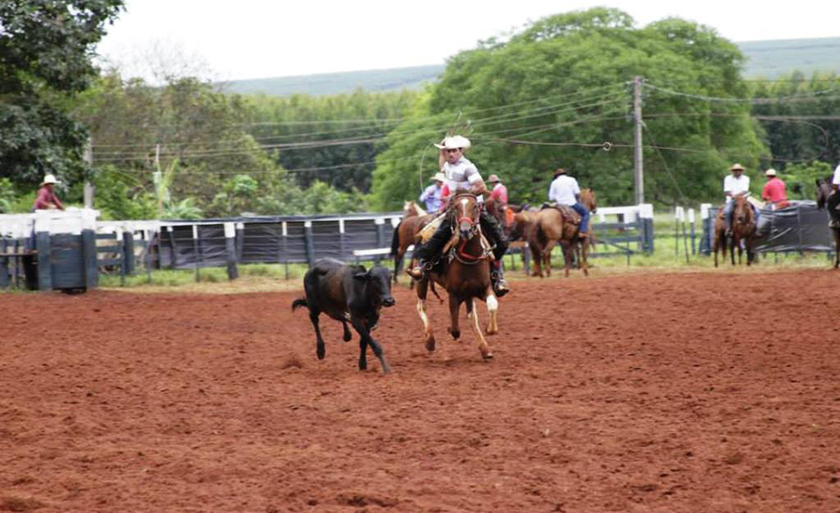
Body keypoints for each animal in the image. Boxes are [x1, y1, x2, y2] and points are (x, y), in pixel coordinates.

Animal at [416, 193, 496, 360]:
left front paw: (491, 330)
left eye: (475, 207)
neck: (470, 258)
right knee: (421, 306)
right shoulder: (453, 293)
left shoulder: (483, 287)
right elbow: (454, 326)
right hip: (422, 280)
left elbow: (492, 305)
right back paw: (430, 341)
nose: (465, 230)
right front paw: (450, 332)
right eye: (456, 208)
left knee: (472, 317)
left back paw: (485, 349)